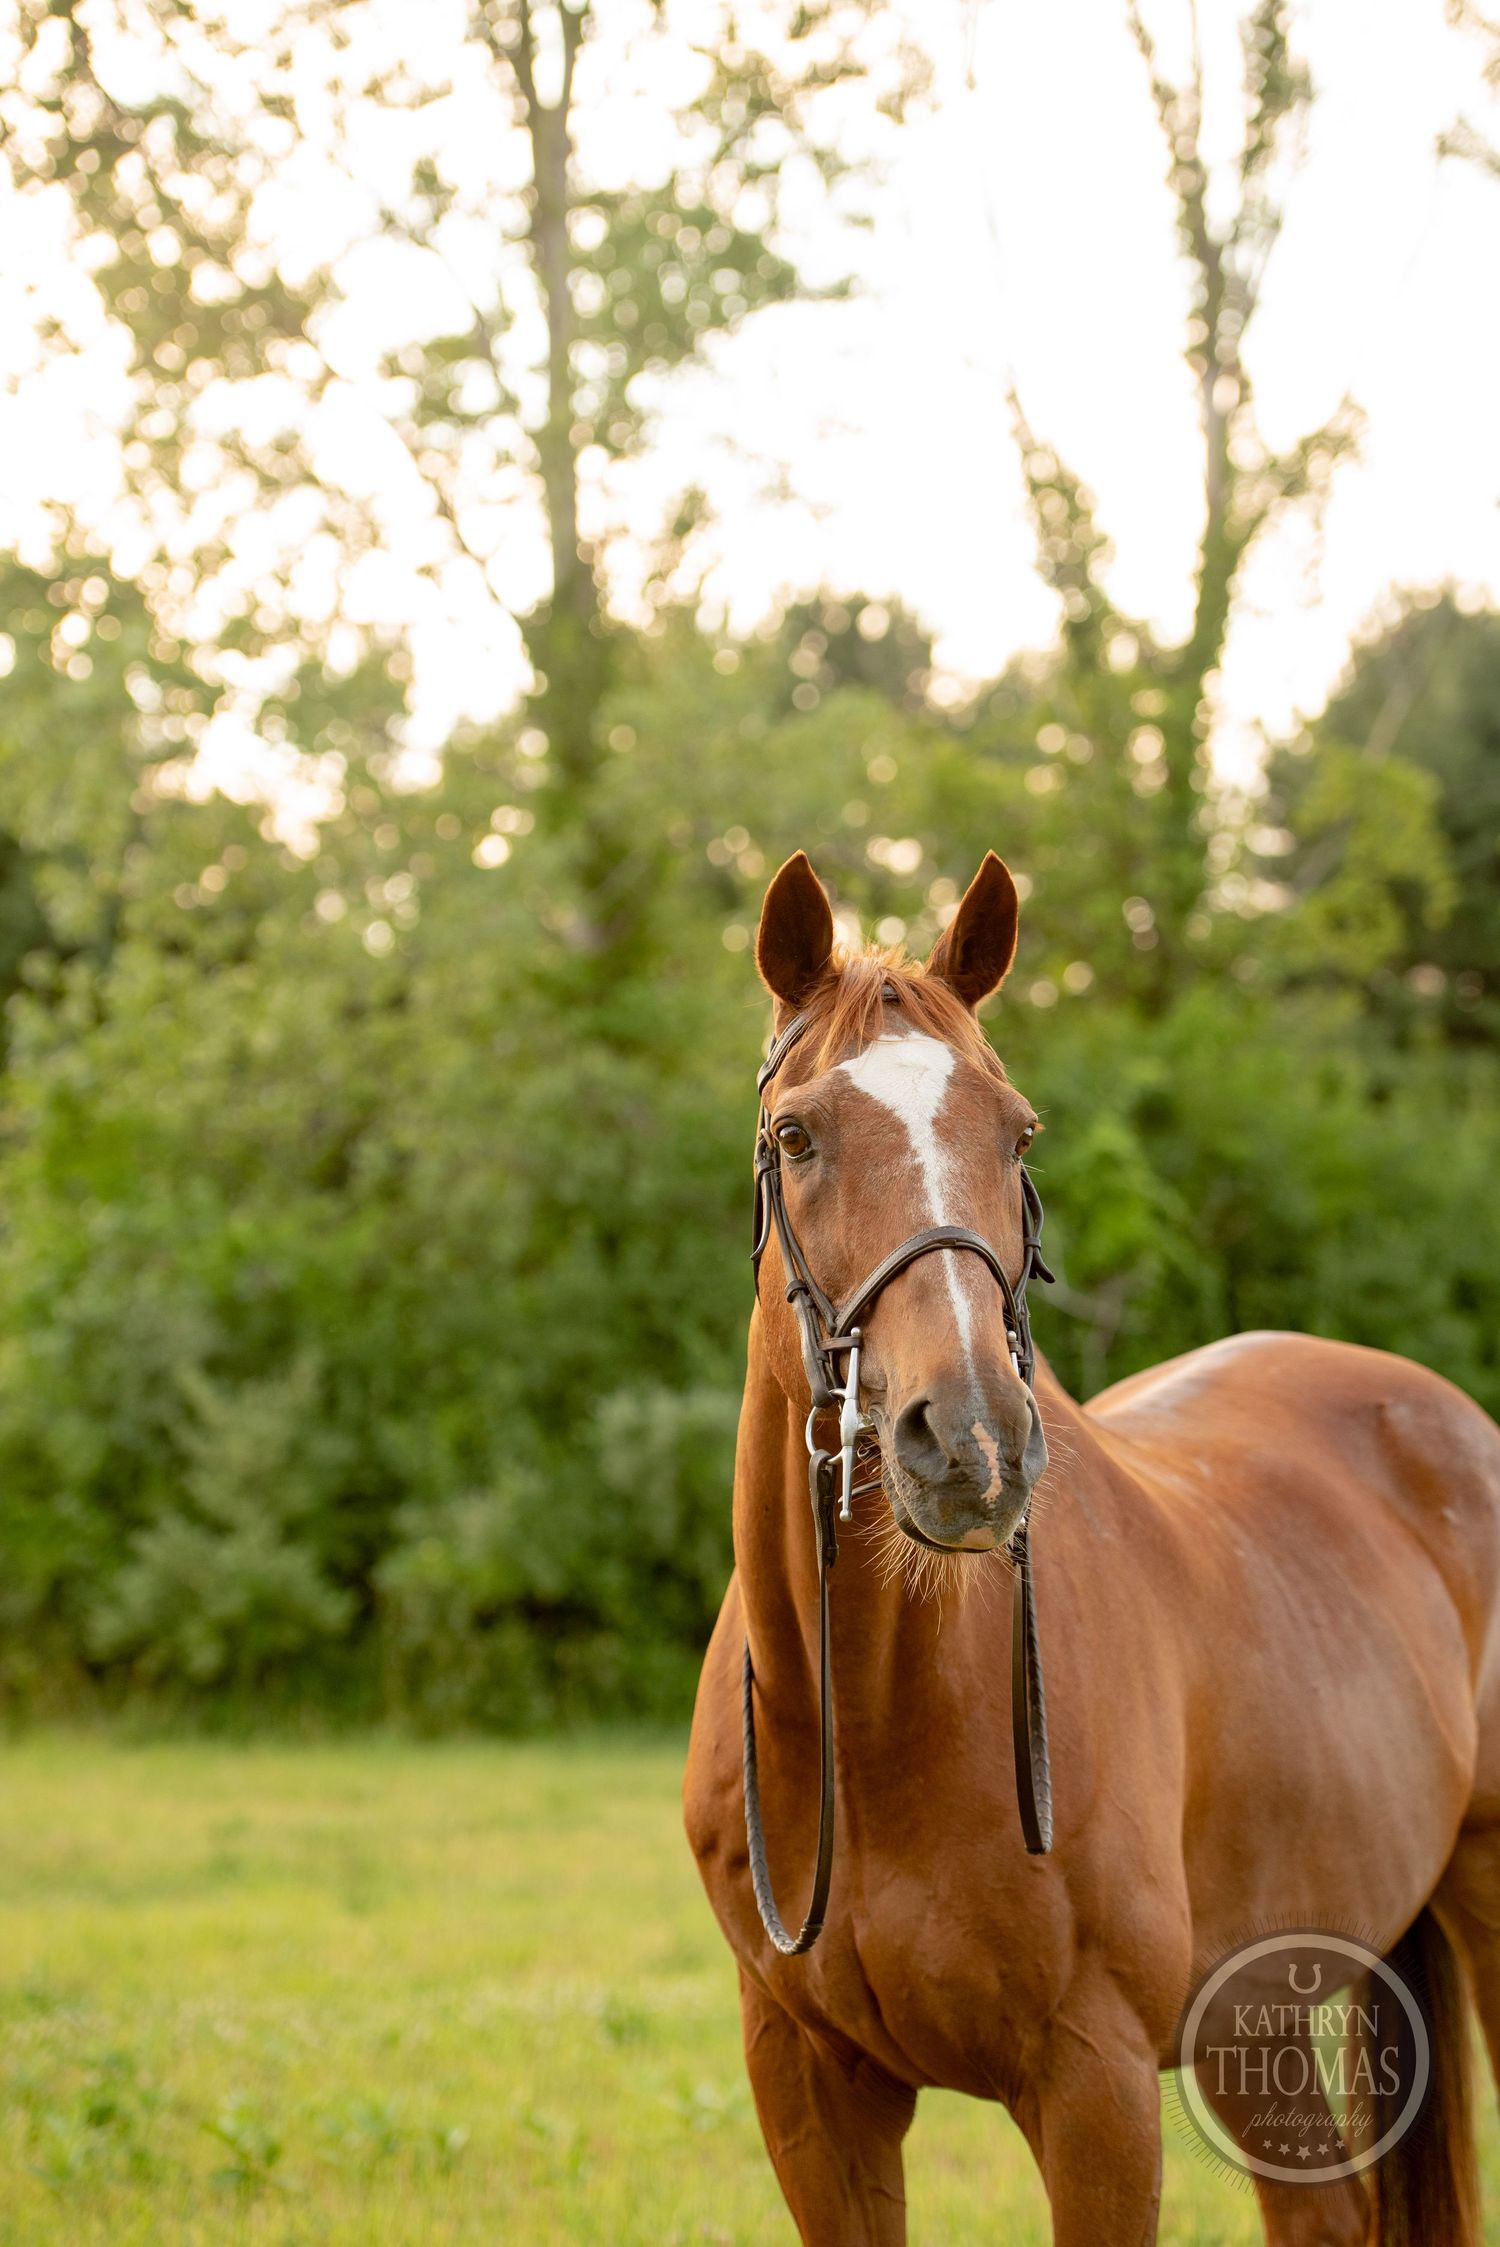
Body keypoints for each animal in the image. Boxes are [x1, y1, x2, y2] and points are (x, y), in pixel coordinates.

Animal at [684, 848, 1500, 2246]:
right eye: (796, 1136)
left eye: (1016, 1133)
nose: (968, 1440)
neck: (881, 1714)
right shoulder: (806, 2083)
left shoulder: (1095, 2083)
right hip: (1255, 2011)